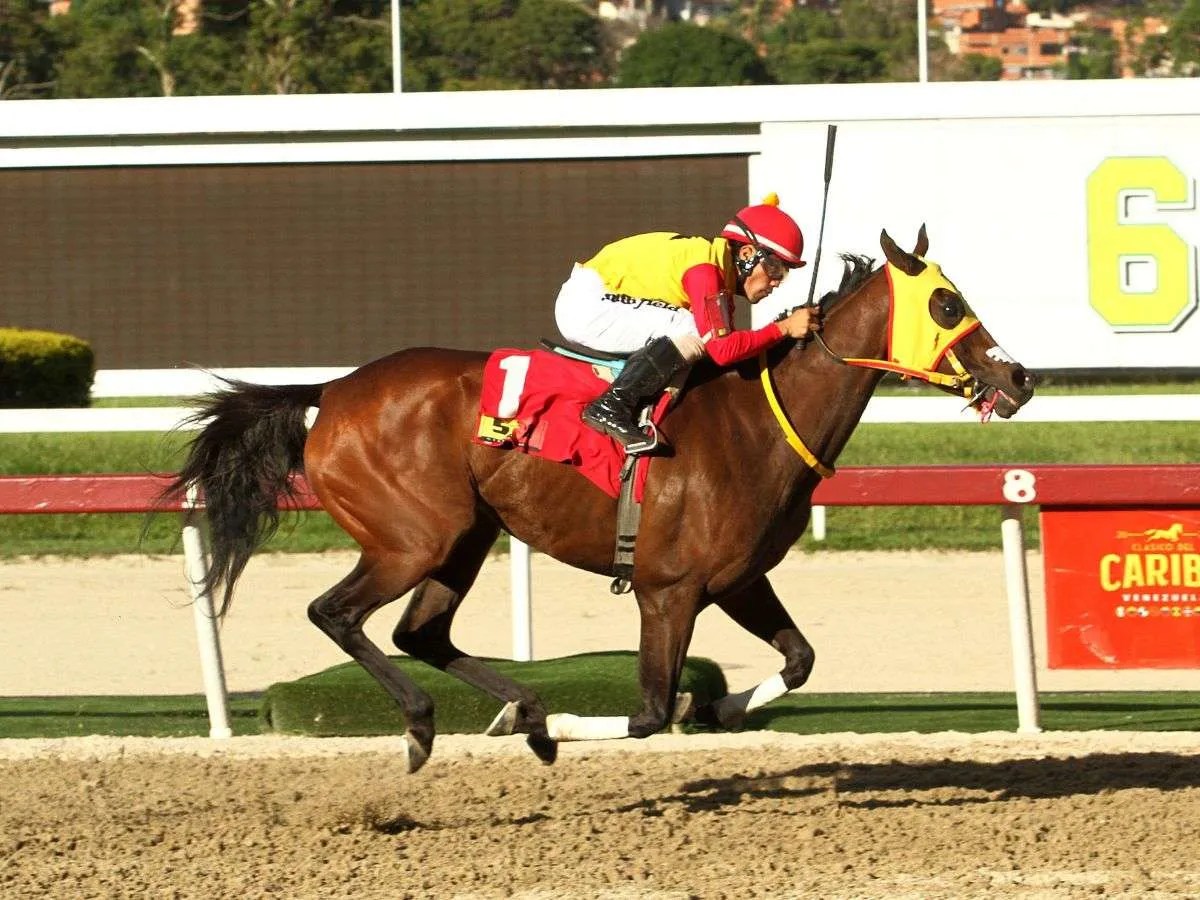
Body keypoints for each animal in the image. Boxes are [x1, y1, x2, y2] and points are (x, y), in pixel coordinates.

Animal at [164, 229, 1036, 772]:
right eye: (948, 306)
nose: (1020, 377)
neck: (758, 419)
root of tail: (333, 390)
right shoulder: (667, 591)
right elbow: (649, 710)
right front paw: (598, 719)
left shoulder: (737, 580)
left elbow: (799, 660)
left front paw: (722, 709)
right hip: (413, 538)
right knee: (337, 614)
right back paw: (429, 724)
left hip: (465, 536)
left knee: (422, 632)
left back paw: (520, 710)